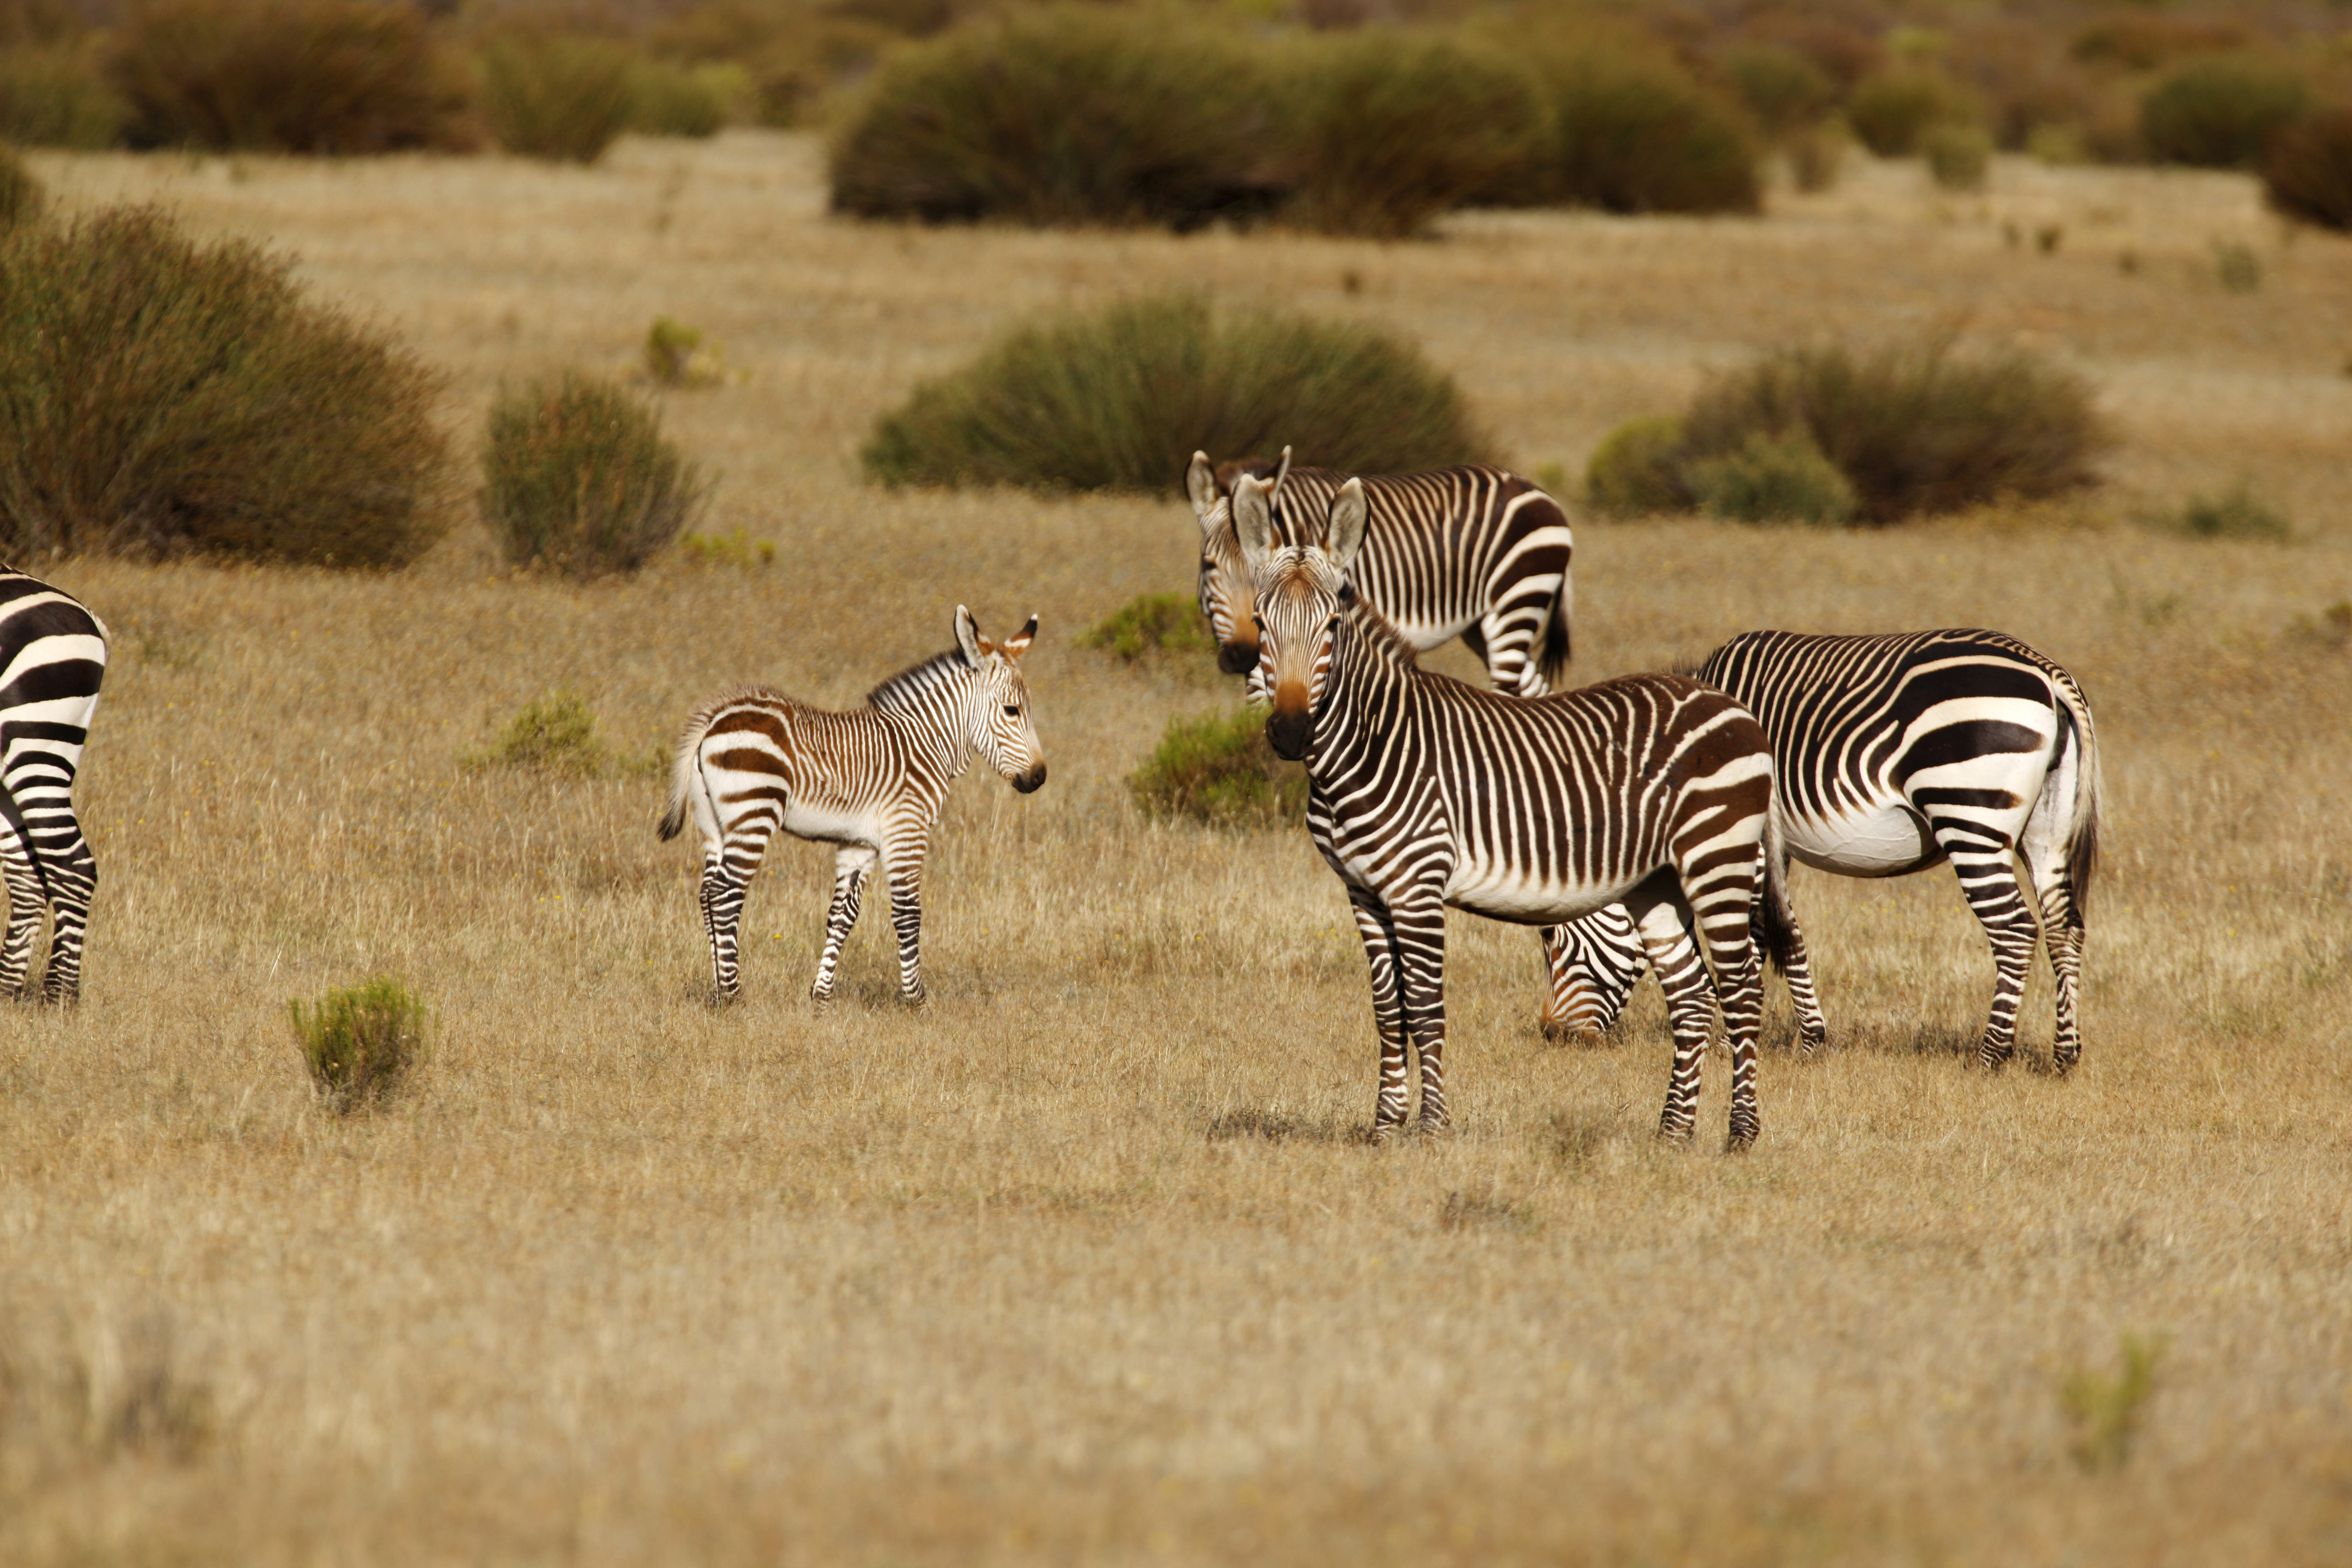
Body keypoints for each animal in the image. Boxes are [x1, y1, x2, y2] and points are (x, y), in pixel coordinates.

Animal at [659, 606, 1045, 1006]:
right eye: (1012, 711)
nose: (1039, 777)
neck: (925, 743)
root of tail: (713, 718)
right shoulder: (906, 829)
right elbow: (908, 913)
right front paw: (916, 999)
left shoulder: (859, 842)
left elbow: (842, 915)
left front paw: (821, 995)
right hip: (754, 812)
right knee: (725, 894)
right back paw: (734, 993)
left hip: (715, 824)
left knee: (707, 894)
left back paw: (719, 989)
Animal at [1187, 449, 1572, 696]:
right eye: (1208, 565)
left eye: (1259, 573)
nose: (1242, 655)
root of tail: (1543, 495)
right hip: (1483, 626)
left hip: (1517, 601)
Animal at [1234, 473, 1791, 1149]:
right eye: (1260, 622)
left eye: (1333, 625)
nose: (1291, 732)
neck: (1369, 745)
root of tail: (1734, 706)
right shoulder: (1363, 891)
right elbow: (1387, 1010)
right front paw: (1385, 1127)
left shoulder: (1417, 884)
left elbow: (1425, 1007)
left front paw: (1432, 1128)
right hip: (1655, 881)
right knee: (1692, 996)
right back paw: (1672, 1133)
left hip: (1718, 858)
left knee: (1741, 990)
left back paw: (1741, 1133)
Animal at [1540, 629, 2102, 1074]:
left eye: (1555, 942)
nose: (1552, 1035)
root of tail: (2046, 672)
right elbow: (1779, 930)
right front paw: (1799, 1036)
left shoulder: (1740, 830)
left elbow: (1758, 935)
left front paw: (1759, 1040)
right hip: (2045, 829)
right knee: (2063, 926)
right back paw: (2064, 1055)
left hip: (1968, 812)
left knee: (2014, 929)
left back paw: (1990, 1056)